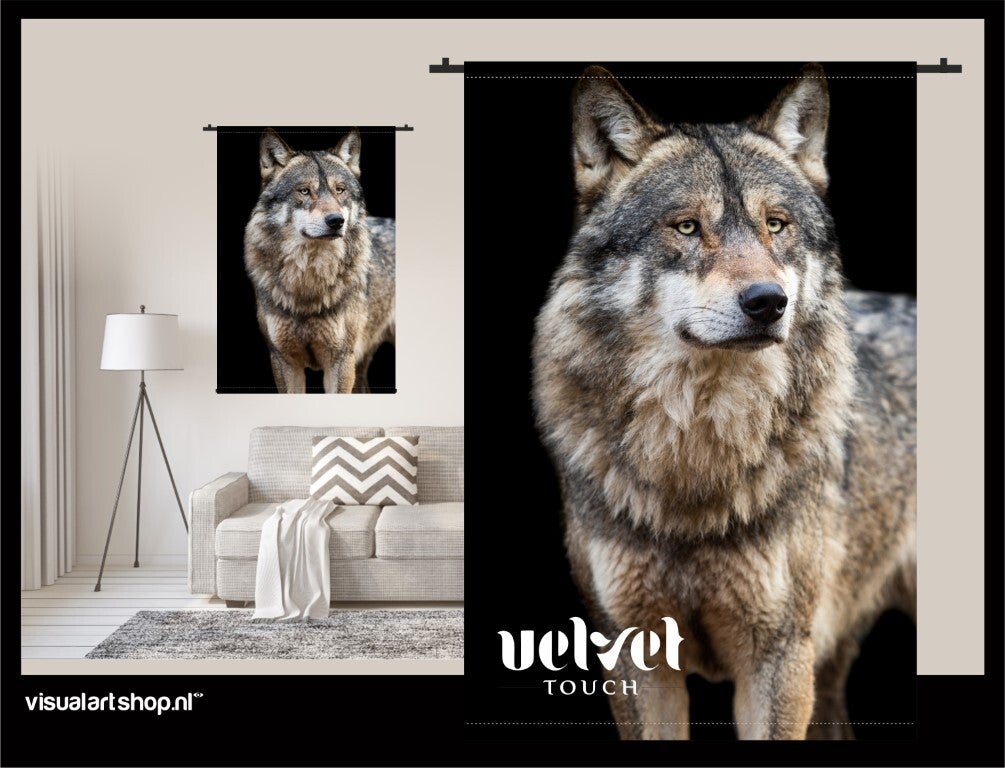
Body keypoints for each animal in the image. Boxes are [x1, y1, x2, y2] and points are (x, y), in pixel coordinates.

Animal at [244, 128, 395, 394]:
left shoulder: (340, 362)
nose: (336, 221)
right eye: (304, 191)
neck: (309, 280)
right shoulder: (283, 361)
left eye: (340, 190)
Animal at [532, 64, 916, 740]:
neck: (697, 455)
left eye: (776, 225)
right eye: (687, 226)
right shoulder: (634, 657)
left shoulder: (778, 658)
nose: (767, 302)